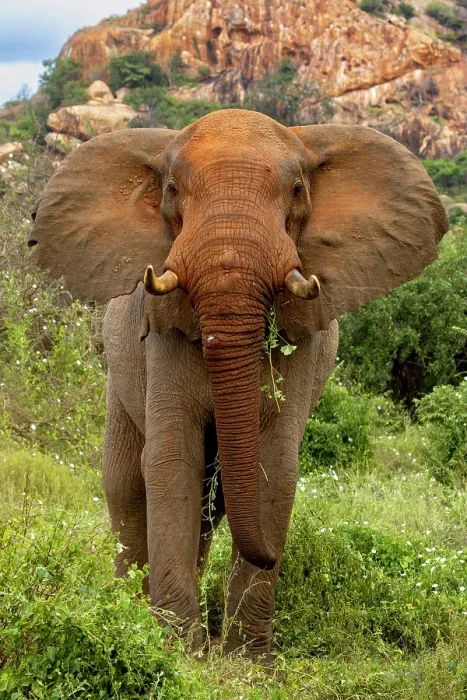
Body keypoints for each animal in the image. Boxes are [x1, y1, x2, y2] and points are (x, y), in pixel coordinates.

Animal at [29, 109, 448, 660]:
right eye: (170, 190)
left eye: (297, 190)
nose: (273, 556)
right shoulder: (161, 329)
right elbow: (170, 461)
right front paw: (177, 650)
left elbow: (274, 468)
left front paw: (243, 659)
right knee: (125, 483)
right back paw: (127, 605)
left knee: (213, 504)